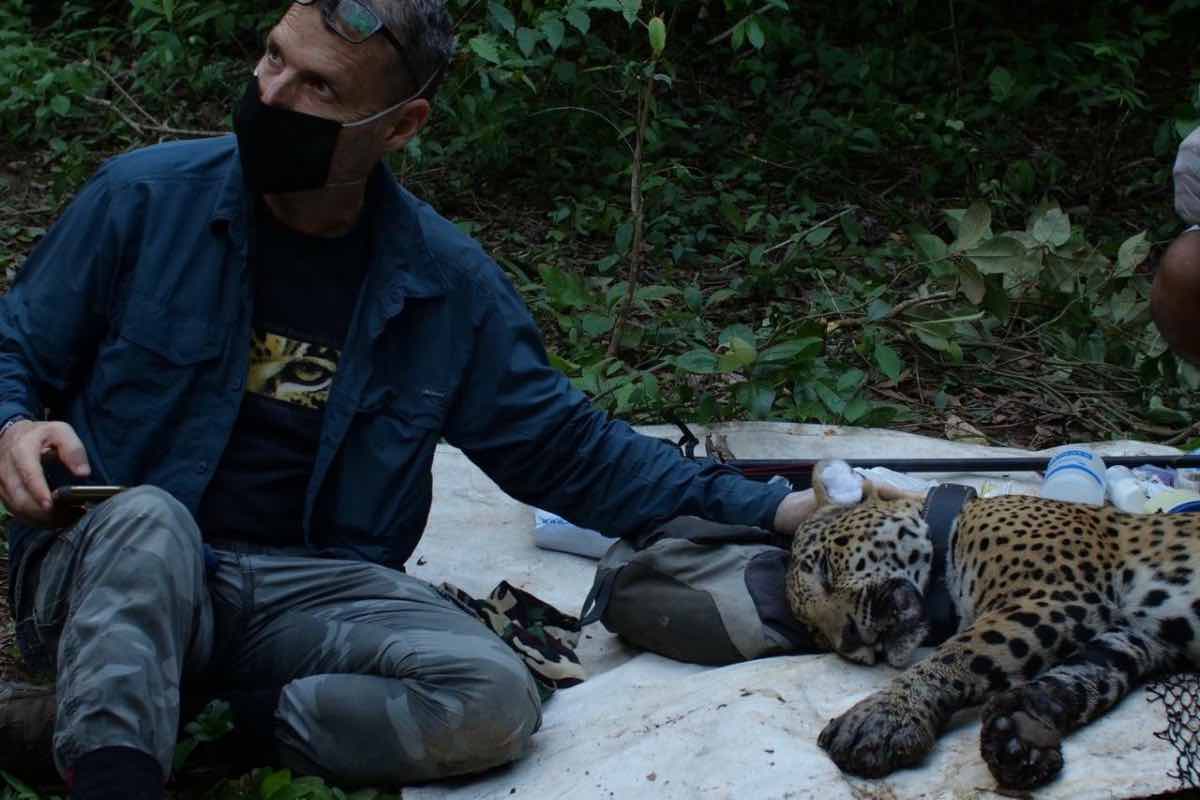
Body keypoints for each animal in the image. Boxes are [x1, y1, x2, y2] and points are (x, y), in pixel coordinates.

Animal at [786, 461, 1200, 790]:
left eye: (825, 568)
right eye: (819, 636)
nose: (849, 638)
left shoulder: (1054, 595)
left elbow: (961, 654)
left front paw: (883, 715)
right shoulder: (1137, 636)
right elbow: (1080, 678)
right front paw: (1022, 730)